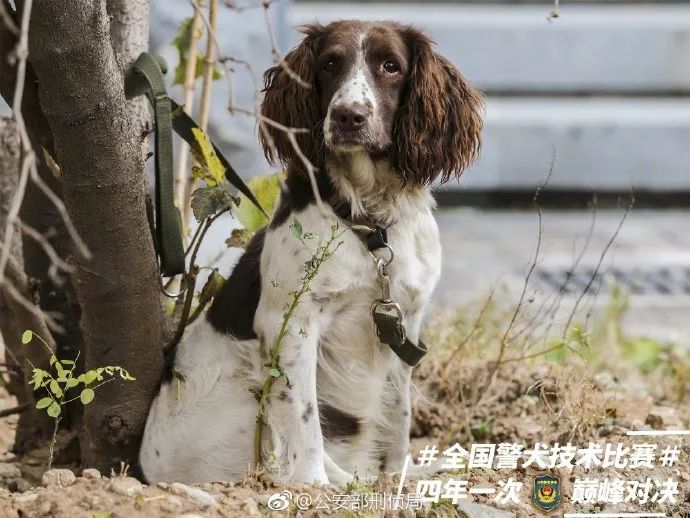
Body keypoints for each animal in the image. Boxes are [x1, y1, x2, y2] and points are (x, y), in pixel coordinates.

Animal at [139, 17, 482, 488]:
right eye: (330, 64)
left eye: (390, 66)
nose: (348, 116)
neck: (371, 223)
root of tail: (147, 466)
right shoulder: (291, 324)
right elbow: (302, 417)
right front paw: (314, 484)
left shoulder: (405, 324)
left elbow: (399, 414)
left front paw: (397, 477)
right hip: (246, 390)